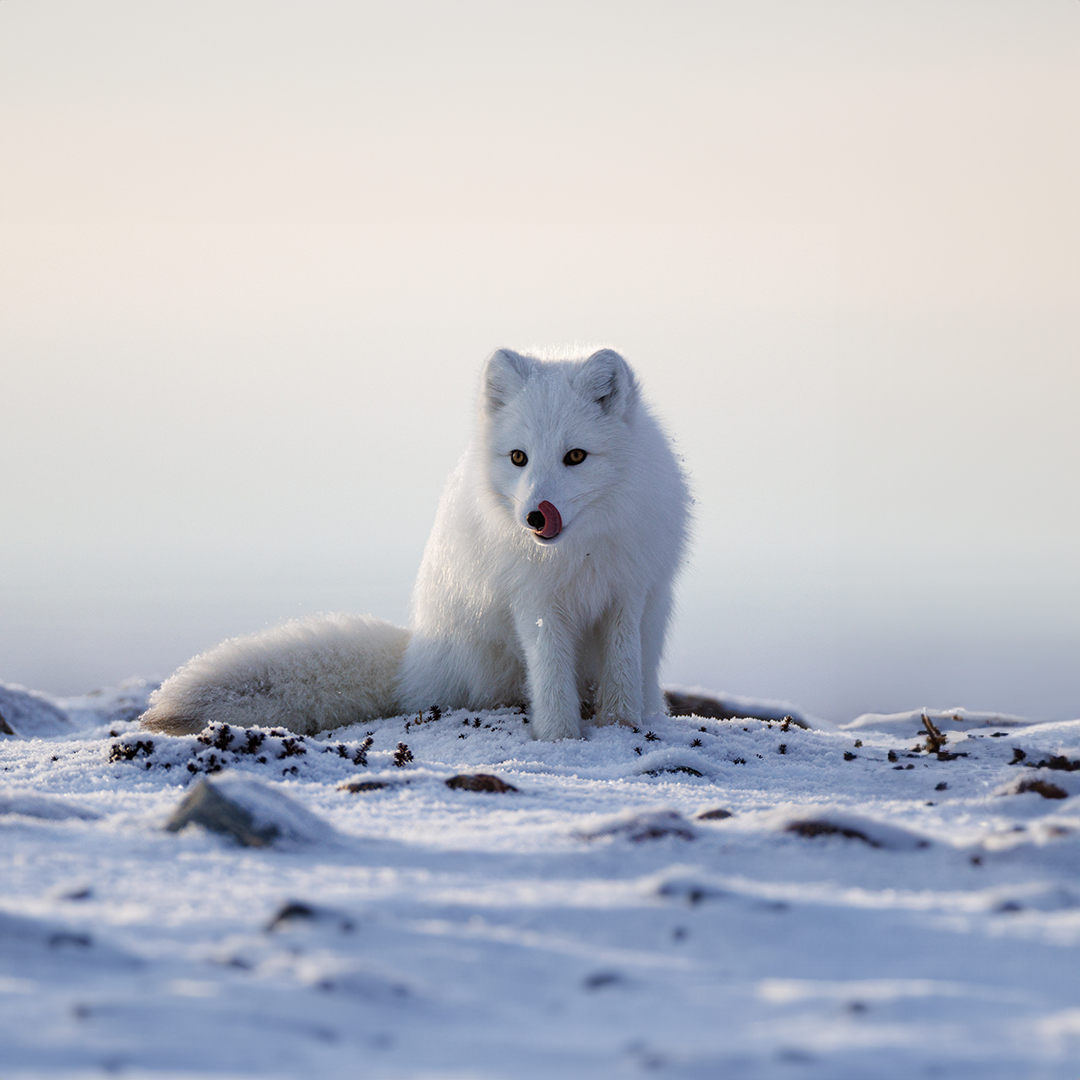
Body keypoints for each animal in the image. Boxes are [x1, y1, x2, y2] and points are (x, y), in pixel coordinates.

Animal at [139, 349, 686, 738]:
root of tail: (413, 661)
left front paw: (621, 728)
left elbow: (622, 671)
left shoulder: (628, 594)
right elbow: (550, 676)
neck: (577, 554)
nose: (534, 515)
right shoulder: (534, 603)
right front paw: (559, 740)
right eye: (518, 457)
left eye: (576, 456)